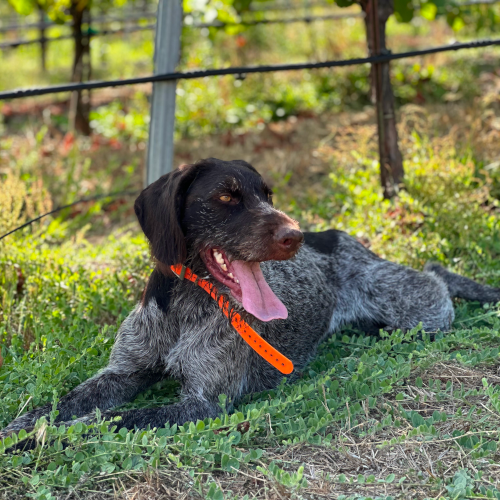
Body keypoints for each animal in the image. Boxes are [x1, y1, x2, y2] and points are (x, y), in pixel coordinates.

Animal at [0, 158, 500, 436]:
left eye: (267, 194)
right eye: (226, 196)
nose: (295, 236)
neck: (189, 302)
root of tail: (334, 236)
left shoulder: (200, 403)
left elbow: (106, 420)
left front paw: (42, 437)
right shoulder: (121, 374)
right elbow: (67, 403)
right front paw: (27, 424)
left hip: (414, 310)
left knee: (434, 277)